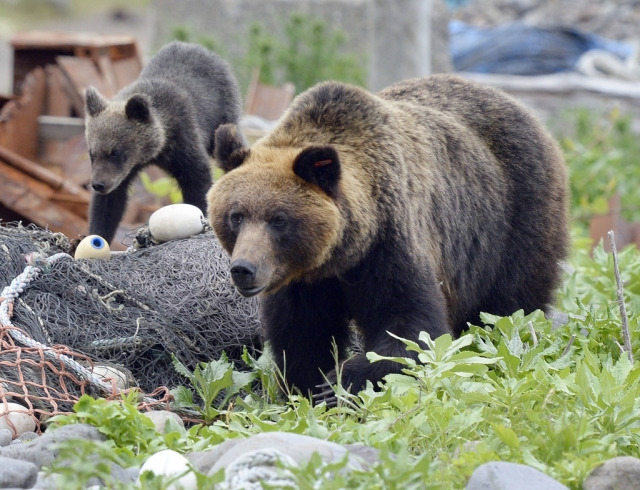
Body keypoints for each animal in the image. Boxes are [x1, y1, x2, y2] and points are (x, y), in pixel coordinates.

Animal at [206, 74, 568, 404]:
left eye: (279, 219)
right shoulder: (303, 280)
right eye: (236, 215)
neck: (341, 255)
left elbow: (410, 328)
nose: (244, 268)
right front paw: (309, 388)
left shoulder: (390, 244)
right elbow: (302, 336)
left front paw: (340, 382)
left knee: (509, 306)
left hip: (514, 217)